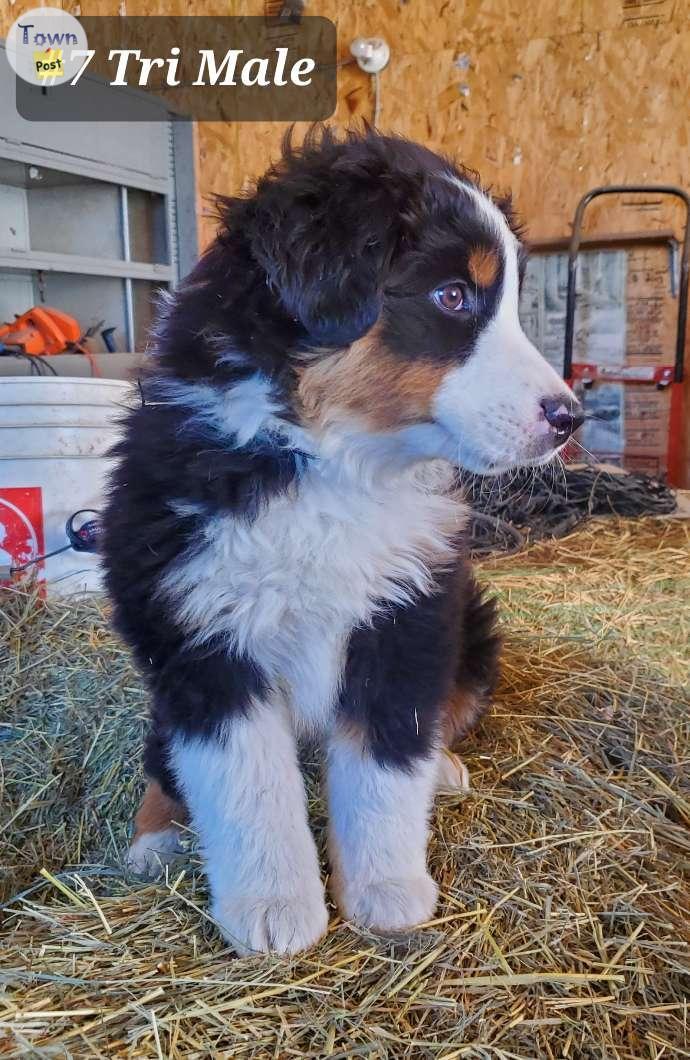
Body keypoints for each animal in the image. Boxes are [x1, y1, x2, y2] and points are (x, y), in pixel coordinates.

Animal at [103, 128, 585, 958]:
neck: (331, 463)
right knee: (163, 757)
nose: (569, 417)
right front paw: (274, 908)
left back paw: (444, 768)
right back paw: (156, 835)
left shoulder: (407, 617)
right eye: (451, 297)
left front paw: (387, 894)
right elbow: (250, 788)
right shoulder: (205, 639)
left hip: (472, 635)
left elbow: (384, 770)